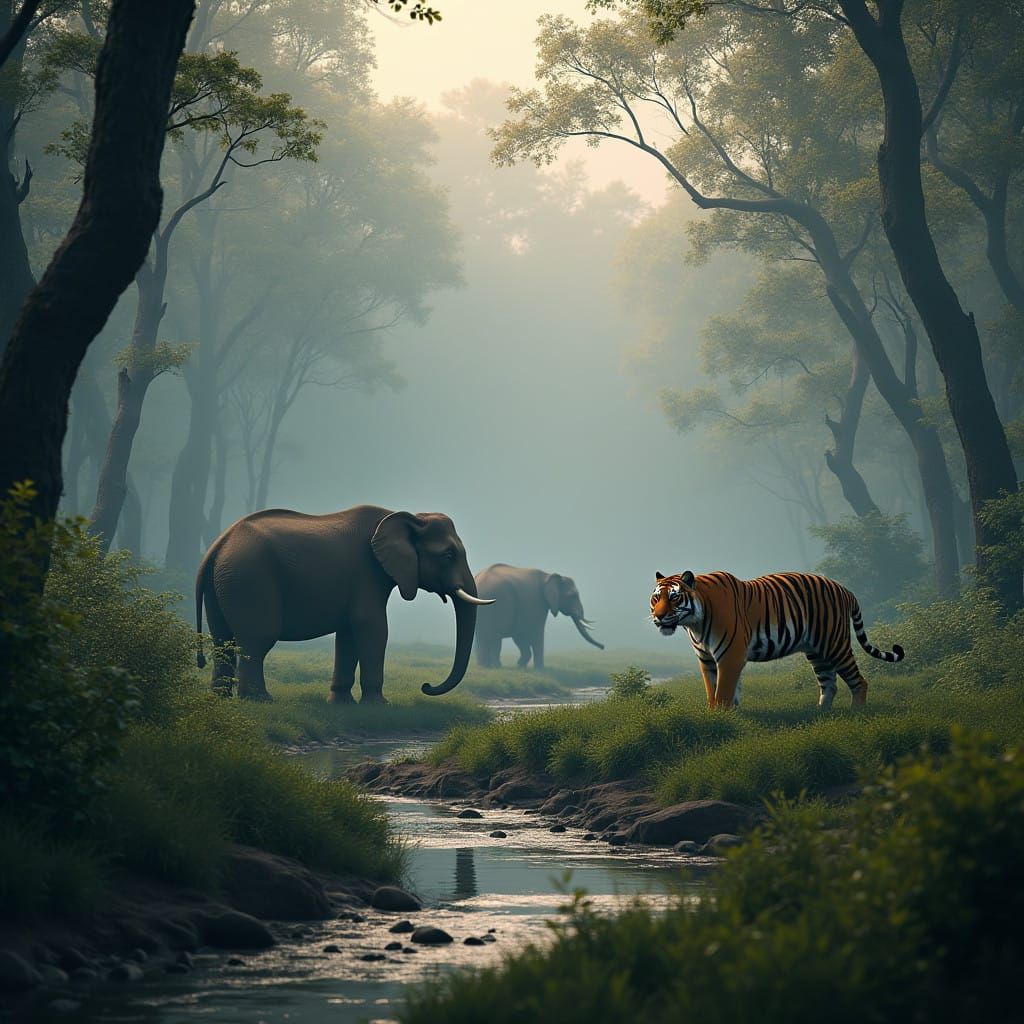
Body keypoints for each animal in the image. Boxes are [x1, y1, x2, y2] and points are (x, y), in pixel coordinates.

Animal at [194, 505, 493, 703]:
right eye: (448, 555)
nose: (426, 685)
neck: (408, 516)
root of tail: (216, 547)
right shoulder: (367, 573)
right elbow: (372, 627)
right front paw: (379, 707)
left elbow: (349, 633)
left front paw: (341, 704)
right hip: (250, 580)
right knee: (257, 640)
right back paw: (261, 701)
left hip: (224, 583)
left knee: (222, 640)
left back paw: (220, 699)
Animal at [473, 563, 603, 669]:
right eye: (572, 596)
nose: (603, 647)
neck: (548, 576)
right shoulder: (538, 603)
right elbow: (536, 633)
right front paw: (539, 670)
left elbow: (520, 635)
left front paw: (521, 666)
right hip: (498, 605)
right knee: (495, 636)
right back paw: (495, 666)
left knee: (481, 636)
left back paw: (484, 666)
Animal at [650, 570, 904, 709]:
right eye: (656, 599)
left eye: (674, 597)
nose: (658, 616)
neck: (695, 624)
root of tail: (845, 589)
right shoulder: (708, 660)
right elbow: (715, 690)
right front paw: (723, 717)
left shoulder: (730, 657)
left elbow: (722, 692)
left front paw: (720, 719)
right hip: (816, 651)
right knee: (829, 684)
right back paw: (819, 714)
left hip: (835, 644)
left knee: (859, 681)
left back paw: (855, 713)